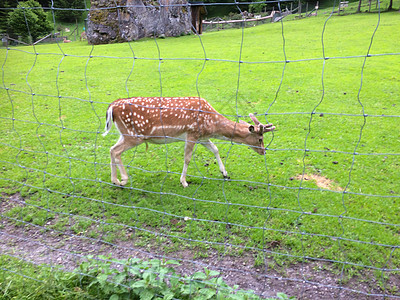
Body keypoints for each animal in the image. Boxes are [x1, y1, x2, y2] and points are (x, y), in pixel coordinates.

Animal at [103, 98, 276, 188]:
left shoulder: (203, 137)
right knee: (117, 151)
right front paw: (184, 181)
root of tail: (111, 107)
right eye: (260, 139)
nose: (264, 151)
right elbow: (187, 158)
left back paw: (114, 180)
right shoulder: (192, 133)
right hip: (134, 135)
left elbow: (215, 149)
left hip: (125, 134)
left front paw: (225, 173)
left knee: (111, 149)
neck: (212, 124)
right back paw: (123, 179)